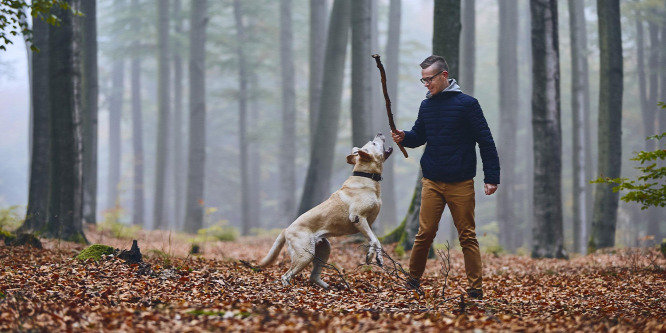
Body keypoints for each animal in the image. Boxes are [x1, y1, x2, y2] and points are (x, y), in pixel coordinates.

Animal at [256, 132, 392, 288]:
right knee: (286, 276)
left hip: (324, 248)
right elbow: (374, 240)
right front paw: (370, 256)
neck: (367, 177)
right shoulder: (358, 218)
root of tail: (287, 229)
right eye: (373, 143)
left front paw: (378, 258)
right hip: (305, 254)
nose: (380, 133)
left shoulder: (367, 224)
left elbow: (376, 241)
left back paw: (333, 288)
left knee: (313, 276)